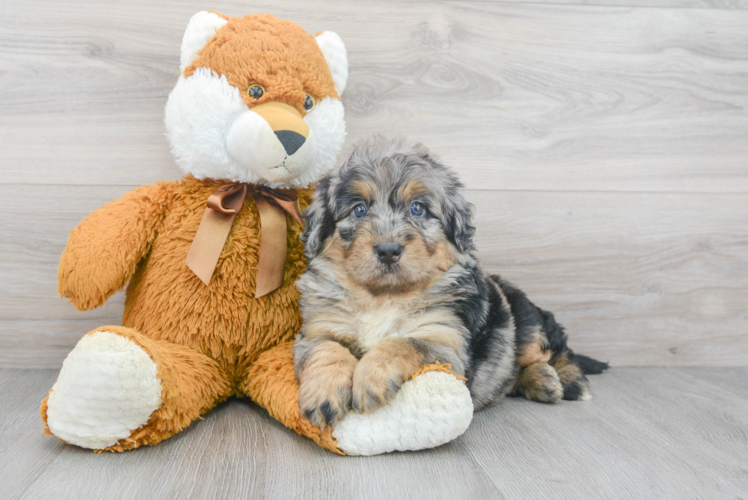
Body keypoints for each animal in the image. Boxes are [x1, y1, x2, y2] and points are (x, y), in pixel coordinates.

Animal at [292, 138, 608, 430]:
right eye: (358, 209)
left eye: (418, 209)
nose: (388, 250)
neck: (384, 297)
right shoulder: (321, 329)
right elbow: (327, 350)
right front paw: (323, 395)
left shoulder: (444, 342)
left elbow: (403, 343)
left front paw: (370, 377)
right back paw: (541, 381)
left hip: (528, 323)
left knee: (558, 350)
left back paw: (570, 381)